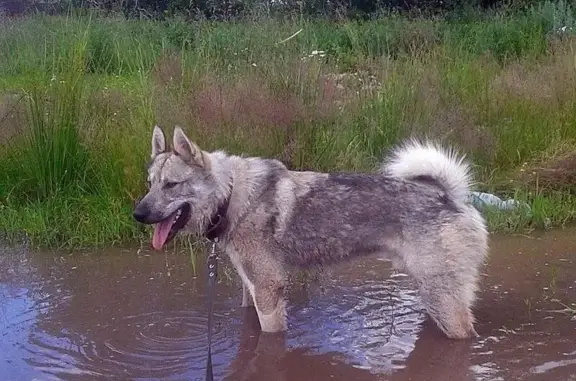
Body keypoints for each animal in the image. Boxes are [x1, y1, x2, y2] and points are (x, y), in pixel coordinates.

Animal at [135, 124, 490, 338]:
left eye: (171, 185)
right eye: (150, 184)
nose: (137, 214)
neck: (232, 195)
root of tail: (451, 197)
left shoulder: (269, 289)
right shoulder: (251, 289)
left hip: (442, 301)